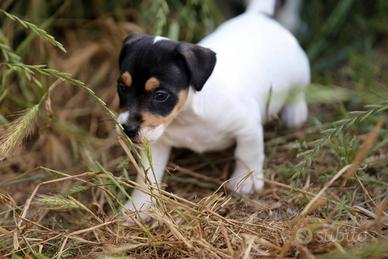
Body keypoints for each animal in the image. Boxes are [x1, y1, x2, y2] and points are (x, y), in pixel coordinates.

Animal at [116, 0, 310, 221]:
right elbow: (147, 175)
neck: (187, 117)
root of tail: (257, 14)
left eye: (160, 95)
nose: (127, 129)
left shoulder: (248, 127)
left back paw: (295, 112)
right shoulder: (156, 143)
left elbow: (247, 154)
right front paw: (138, 205)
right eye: (122, 87)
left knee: (297, 92)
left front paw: (245, 182)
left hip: (300, 72)